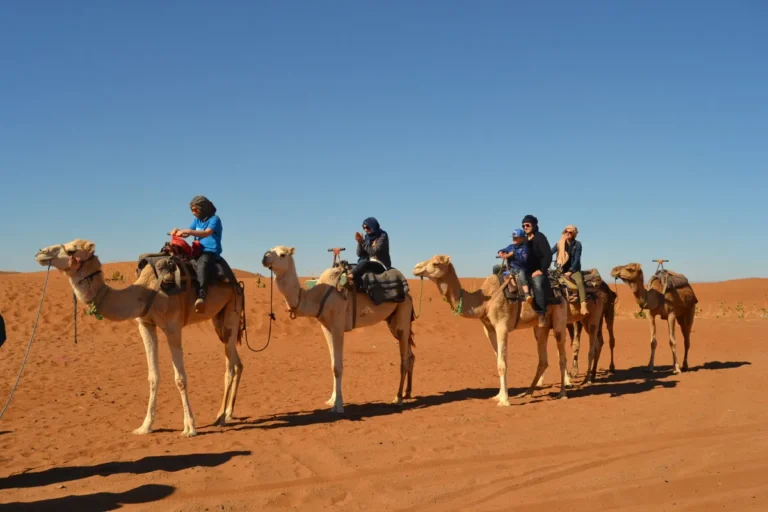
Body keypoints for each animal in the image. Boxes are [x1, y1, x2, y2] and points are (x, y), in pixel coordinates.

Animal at [36, 239, 243, 436]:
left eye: (72, 250)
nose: (41, 253)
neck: (146, 291)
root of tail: (236, 281)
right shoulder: (145, 325)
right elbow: (153, 376)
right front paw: (145, 426)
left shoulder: (173, 327)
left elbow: (180, 379)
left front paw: (189, 427)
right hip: (218, 320)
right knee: (237, 362)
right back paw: (228, 413)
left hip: (232, 310)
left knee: (229, 367)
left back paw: (220, 417)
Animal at [264, 246, 420, 414]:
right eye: (270, 250)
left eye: (282, 254)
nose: (264, 258)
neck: (316, 297)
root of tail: (408, 294)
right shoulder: (326, 327)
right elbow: (333, 364)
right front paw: (331, 400)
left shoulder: (338, 325)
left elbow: (338, 367)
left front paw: (338, 405)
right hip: (393, 321)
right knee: (410, 355)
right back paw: (408, 392)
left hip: (403, 314)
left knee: (404, 359)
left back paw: (398, 398)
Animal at [414, 255, 608, 404]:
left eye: (436, 263)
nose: (416, 268)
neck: (485, 299)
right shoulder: (489, 329)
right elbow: (498, 360)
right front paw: (499, 395)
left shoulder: (502, 326)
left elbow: (503, 364)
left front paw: (504, 400)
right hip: (542, 326)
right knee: (543, 358)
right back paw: (528, 392)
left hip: (566, 318)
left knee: (567, 354)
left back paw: (565, 391)